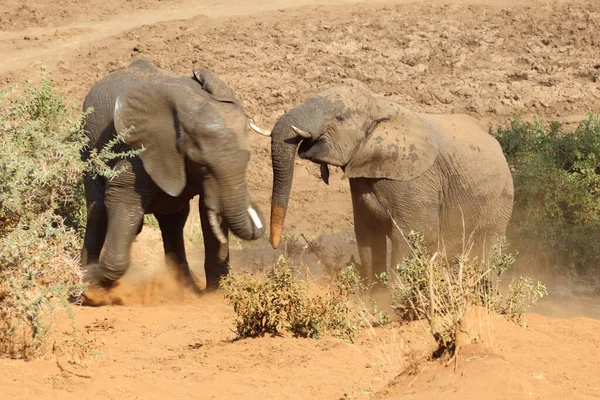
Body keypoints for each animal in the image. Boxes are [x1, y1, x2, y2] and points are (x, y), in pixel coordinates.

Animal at [79, 57, 264, 304]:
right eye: (200, 161)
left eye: (248, 159)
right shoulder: (140, 148)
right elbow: (122, 195)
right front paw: (90, 284)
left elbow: (208, 209)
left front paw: (212, 295)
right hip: (87, 146)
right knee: (98, 210)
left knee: (173, 220)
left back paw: (186, 287)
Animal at [251, 84, 512, 284]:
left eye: (339, 117)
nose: (275, 244)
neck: (378, 105)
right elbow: (367, 238)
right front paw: (376, 296)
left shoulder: (417, 181)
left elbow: (413, 236)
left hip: (500, 203)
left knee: (485, 249)